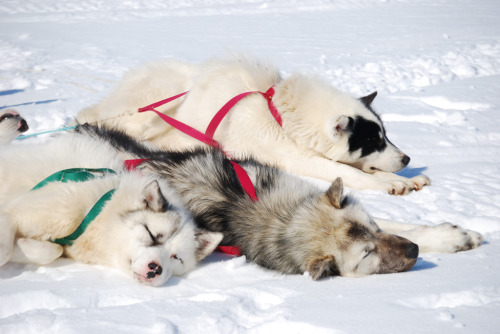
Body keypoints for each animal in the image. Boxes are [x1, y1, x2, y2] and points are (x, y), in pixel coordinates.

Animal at [0, 133, 223, 288]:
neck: (98, 210)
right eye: (151, 235)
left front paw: (24, 246)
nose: (155, 269)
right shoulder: (27, 213)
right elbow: (6, 249)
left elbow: (51, 251)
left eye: (176, 257)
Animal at [76, 55, 432, 196]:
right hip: (147, 114)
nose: (407, 159)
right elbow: (349, 172)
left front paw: (406, 179)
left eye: (385, 136)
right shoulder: (293, 157)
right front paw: (389, 184)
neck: (282, 115)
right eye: (373, 141)